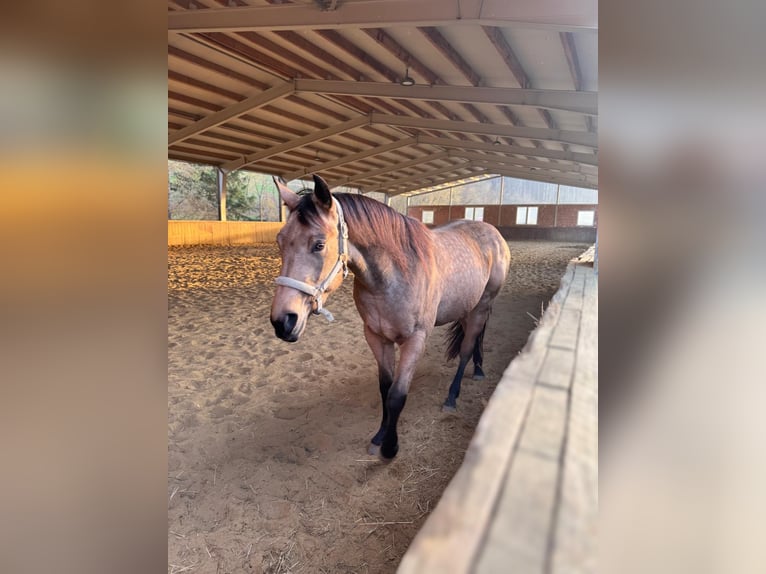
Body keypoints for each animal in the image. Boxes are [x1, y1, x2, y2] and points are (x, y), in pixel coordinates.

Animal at [270, 174, 511, 460]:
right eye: (280, 241)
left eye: (319, 244)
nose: (283, 321)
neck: (393, 274)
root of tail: (493, 233)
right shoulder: (376, 336)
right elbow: (385, 388)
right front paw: (380, 436)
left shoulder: (415, 340)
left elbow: (397, 394)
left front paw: (390, 447)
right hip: (468, 307)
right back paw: (479, 368)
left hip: (482, 304)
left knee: (465, 348)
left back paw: (452, 397)